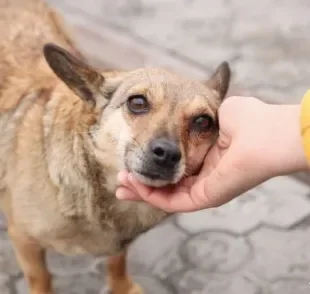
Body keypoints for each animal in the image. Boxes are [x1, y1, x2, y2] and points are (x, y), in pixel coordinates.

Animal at [0, 0, 230, 294]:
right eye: (138, 102)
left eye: (203, 121)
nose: (167, 154)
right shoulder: (24, 240)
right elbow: (41, 278)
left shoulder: (119, 244)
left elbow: (117, 261)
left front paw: (122, 286)